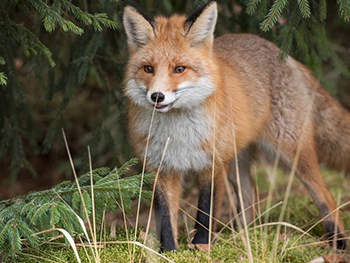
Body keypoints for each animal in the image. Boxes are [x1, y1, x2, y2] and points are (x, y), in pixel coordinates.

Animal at [122, 0, 348, 252]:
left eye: (179, 69)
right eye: (148, 69)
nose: (157, 96)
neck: (179, 135)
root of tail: (286, 57)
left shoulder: (214, 164)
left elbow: (206, 211)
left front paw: (202, 247)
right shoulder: (161, 168)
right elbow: (165, 218)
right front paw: (168, 251)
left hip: (290, 154)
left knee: (325, 194)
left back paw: (338, 240)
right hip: (236, 164)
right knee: (250, 199)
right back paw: (242, 236)